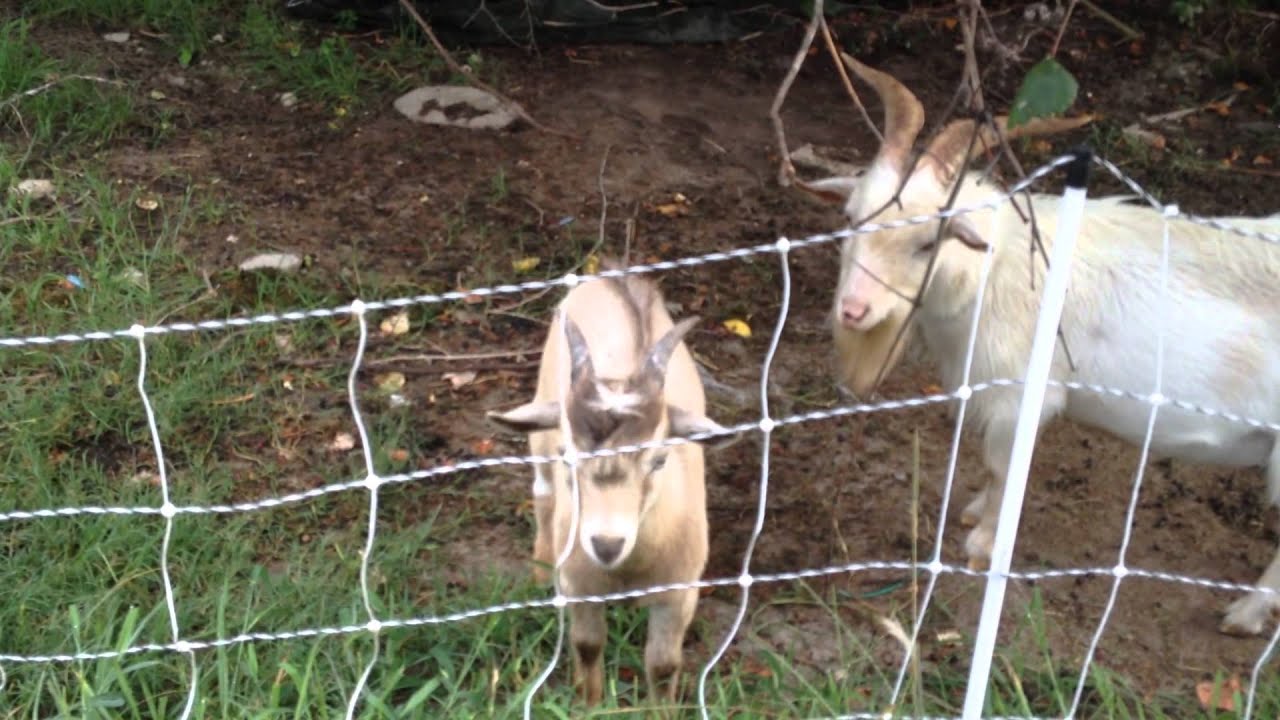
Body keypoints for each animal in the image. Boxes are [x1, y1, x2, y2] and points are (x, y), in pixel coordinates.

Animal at [487, 267, 726, 710]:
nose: (606, 544)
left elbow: (663, 666)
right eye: (568, 455)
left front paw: (660, 712)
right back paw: (539, 568)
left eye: (660, 460)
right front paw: (590, 705)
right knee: (542, 493)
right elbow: (587, 646)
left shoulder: (678, 595)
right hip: (539, 426)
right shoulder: (580, 587)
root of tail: (613, 277)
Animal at [803, 53, 1280, 637]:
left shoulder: (1023, 395)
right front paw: (975, 511)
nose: (852, 310)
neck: (996, 264)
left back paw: (1246, 614)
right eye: (850, 218)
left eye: (928, 241)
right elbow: (991, 468)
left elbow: (1003, 466)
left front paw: (982, 544)